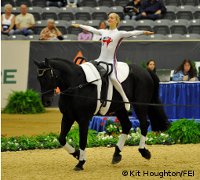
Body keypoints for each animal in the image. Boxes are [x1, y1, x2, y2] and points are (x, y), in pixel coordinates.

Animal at [34, 58, 169, 171]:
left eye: (49, 76)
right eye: (38, 79)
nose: (46, 102)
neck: (76, 86)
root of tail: (145, 71)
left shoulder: (83, 119)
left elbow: (83, 140)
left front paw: (80, 163)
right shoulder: (68, 116)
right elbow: (61, 139)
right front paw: (77, 154)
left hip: (140, 105)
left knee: (144, 124)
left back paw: (143, 151)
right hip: (120, 108)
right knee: (127, 125)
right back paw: (116, 154)